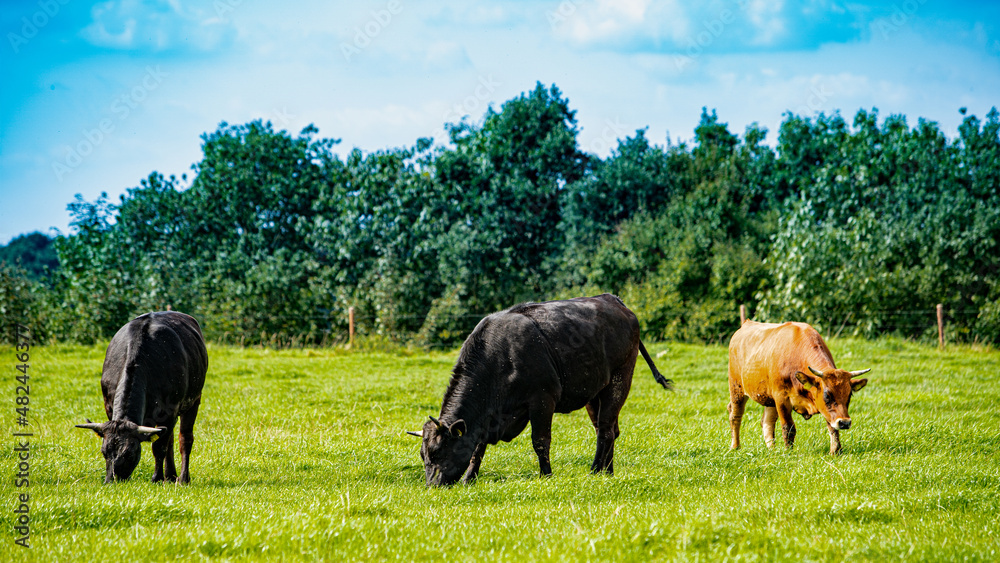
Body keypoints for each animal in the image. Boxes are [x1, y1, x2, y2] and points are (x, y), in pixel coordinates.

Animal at [76, 311, 208, 484]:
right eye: (104, 452)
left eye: (129, 453)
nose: (111, 481)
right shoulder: (109, 407)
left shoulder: (170, 411)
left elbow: (159, 447)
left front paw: (156, 478)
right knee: (171, 440)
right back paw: (170, 475)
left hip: (193, 402)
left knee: (184, 439)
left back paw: (183, 478)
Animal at [408, 294, 672, 486]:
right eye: (423, 455)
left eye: (439, 451)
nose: (431, 485)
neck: (500, 356)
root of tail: (613, 300)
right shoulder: (487, 418)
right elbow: (477, 448)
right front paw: (468, 478)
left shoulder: (542, 401)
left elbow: (540, 441)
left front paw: (546, 474)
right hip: (593, 393)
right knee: (608, 429)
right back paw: (608, 471)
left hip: (619, 380)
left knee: (605, 430)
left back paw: (596, 470)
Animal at [727, 320, 870, 455]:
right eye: (827, 395)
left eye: (849, 395)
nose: (845, 423)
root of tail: (746, 324)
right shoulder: (781, 398)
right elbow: (788, 427)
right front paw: (788, 452)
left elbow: (832, 426)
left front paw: (835, 450)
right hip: (737, 389)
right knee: (735, 416)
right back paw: (735, 447)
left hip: (769, 399)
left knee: (767, 421)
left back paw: (772, 449)